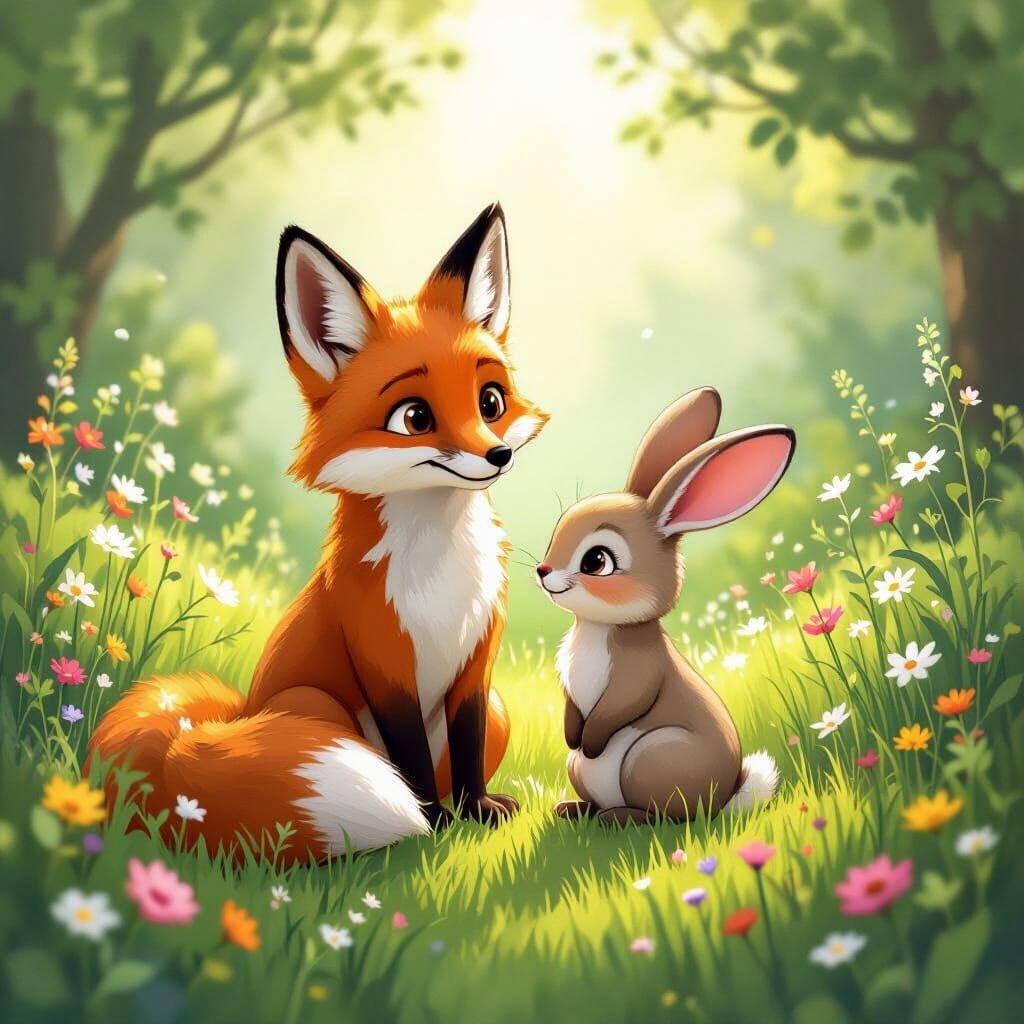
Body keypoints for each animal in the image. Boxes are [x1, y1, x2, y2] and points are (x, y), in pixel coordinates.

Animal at [88, 203, 548, 863]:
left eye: (490, 401)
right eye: (415, 418)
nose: (498, 455)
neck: (440, 571)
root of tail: (234, 715)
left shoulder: (475, 667)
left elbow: (464, 752)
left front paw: (473, 810)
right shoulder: (384, 663)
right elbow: (408, 758)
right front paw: (432, 822)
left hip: (500, 708)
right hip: (315, 707)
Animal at [535, 387, 795, 825]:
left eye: (596, 561)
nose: (542, 571)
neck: (600, 628)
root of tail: (723, 799)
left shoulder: (637, 675)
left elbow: (620, 707)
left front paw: (590, 742)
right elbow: (573, 711)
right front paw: (573, 735)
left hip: (652, 757)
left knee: (666, 815)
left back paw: (617, 817)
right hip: (584, 770)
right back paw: (573, 809)